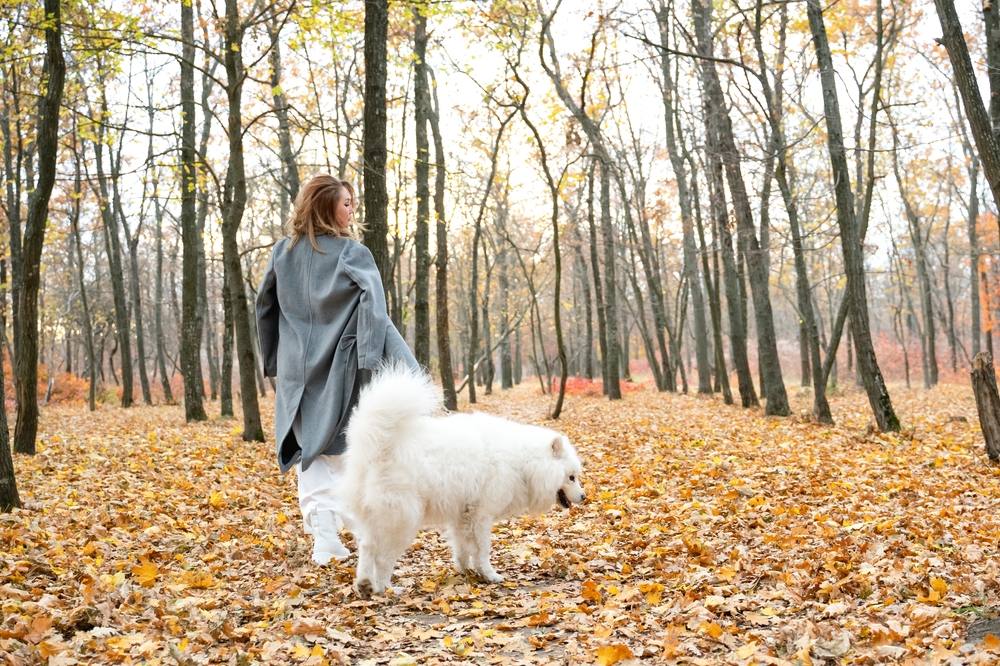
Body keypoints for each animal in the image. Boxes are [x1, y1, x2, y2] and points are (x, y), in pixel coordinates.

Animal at [340, 364, 584, 596]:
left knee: (366, 546)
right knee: (382, 558)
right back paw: (385, 588)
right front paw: (489, 575)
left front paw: (466, 571)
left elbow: (462, 548)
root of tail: (379, 448)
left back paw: (364, 585)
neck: (522, 460)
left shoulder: (463, 515)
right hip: (402, 520)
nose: (584, 496)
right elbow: (483, 550)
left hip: (382, 518)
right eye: (571, 477)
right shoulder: (482, 516)